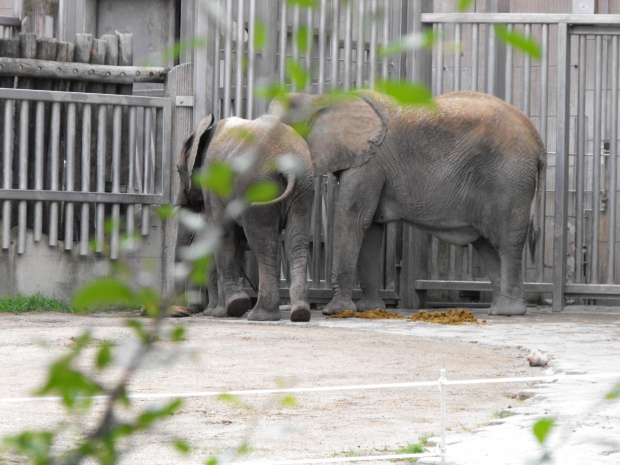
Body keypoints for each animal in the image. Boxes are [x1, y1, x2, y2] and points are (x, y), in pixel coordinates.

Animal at [176, 114, 314, 320]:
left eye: (178, 170)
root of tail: (287, 163)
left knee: (263, 241)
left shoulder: (214, 180)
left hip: (258, 185)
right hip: (304, 186)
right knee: (296, 240)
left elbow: (222, 231)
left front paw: (233, 307)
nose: (182, 311)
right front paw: (223, 311)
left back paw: (260, 315)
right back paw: (300, 313)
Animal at [272, 90, 548, 316]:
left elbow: (353, 219)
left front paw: (335, 311)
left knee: (506, 243)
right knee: (487, 245)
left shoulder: (370, 161)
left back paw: (505, 311)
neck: (321, 99)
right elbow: (371, 227)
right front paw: (370, 309)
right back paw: (501, 308)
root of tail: (538, 141)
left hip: (509, 178)